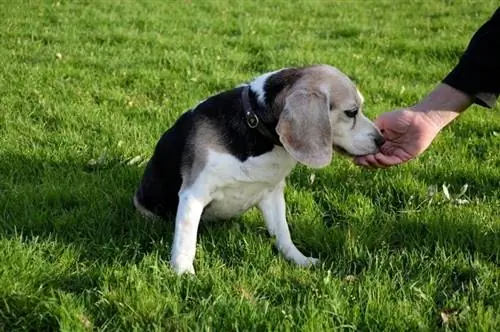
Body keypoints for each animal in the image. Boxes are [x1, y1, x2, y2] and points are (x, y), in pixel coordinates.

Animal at [133, 65, 382, 274]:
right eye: (351, 112)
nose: (381, 140)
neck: (253, 124)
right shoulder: (194, 194)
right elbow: (186, 240)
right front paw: (183, 274)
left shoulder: (272, 193)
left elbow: (283, 234)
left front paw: (299, 260)